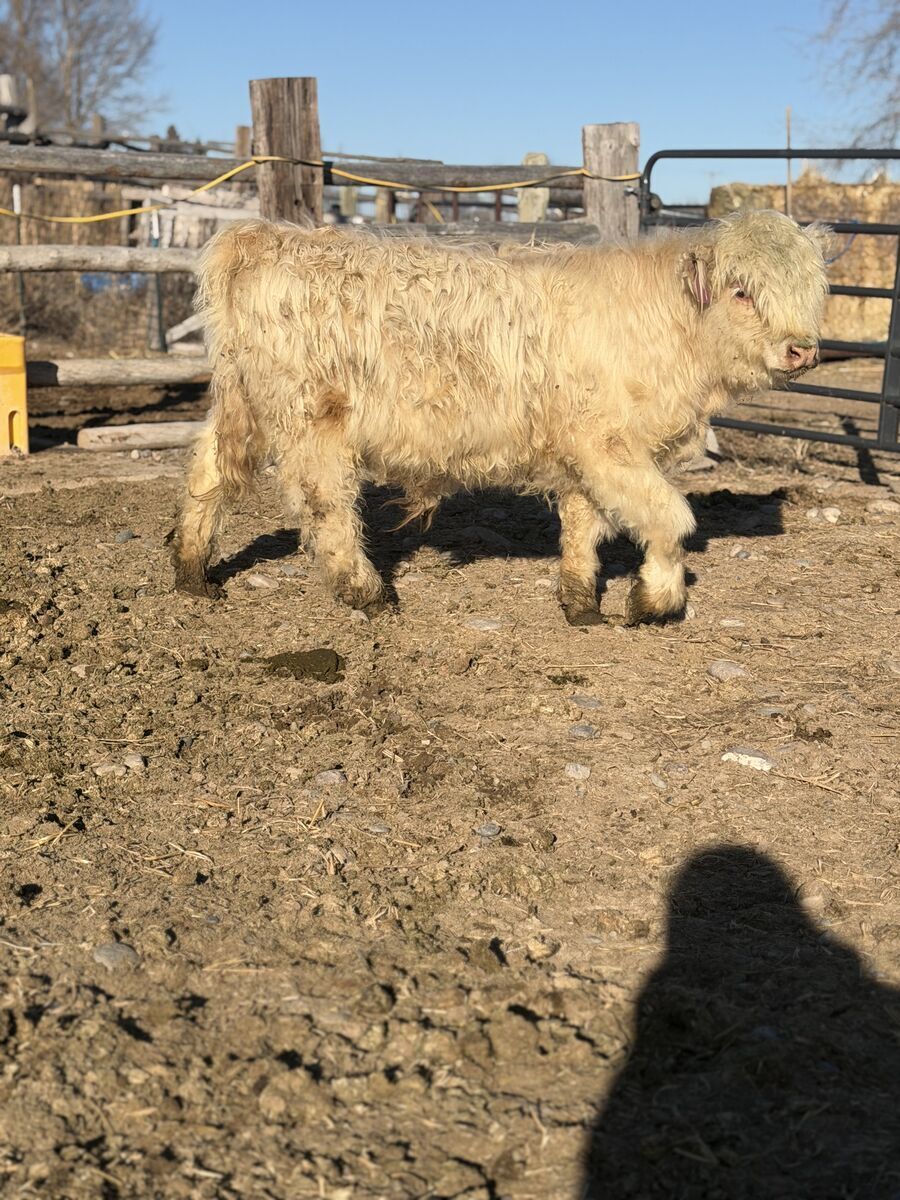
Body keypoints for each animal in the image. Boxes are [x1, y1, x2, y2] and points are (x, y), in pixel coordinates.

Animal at [171, 210, 828, 625]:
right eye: (742, 291)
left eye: (811, 289)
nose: (801, 350)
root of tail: (268, 238)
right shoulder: (608, 444)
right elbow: (671, 517)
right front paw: (653, 599)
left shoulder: (585, 449)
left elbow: (585, 526)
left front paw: (581, 605)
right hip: (313, 422)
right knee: (326, 507)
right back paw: (368, 594)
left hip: (240, 405)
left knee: (209, 474)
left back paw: (192, 574)